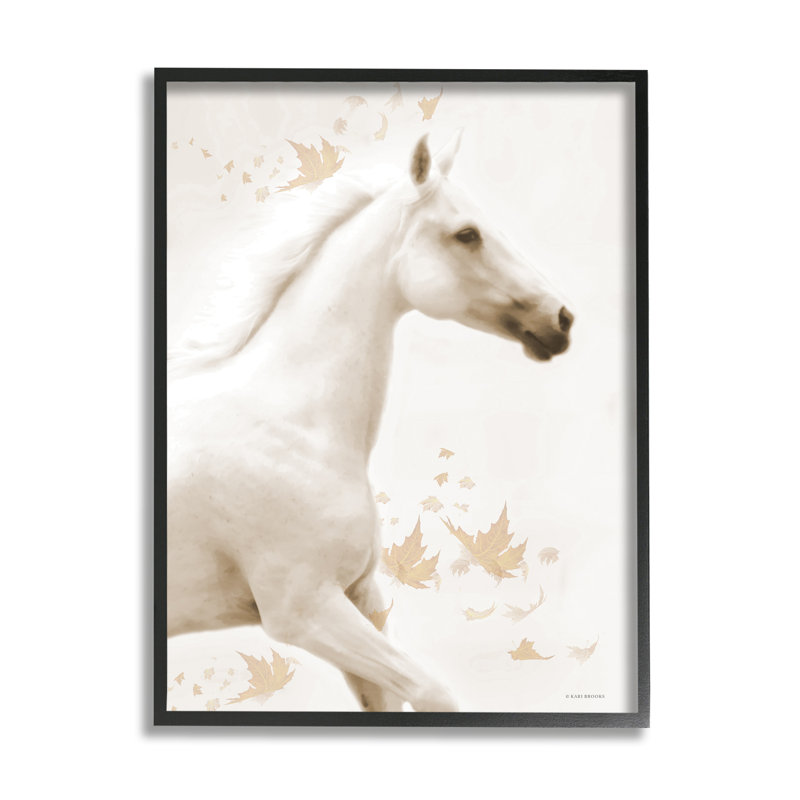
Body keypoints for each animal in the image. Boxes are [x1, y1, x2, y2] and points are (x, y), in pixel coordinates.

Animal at [166, 132, 574, 712]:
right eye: (467, 234)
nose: (561, 319)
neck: (292, 428)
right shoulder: (304, 610)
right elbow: (433, 693)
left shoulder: (359, 595)